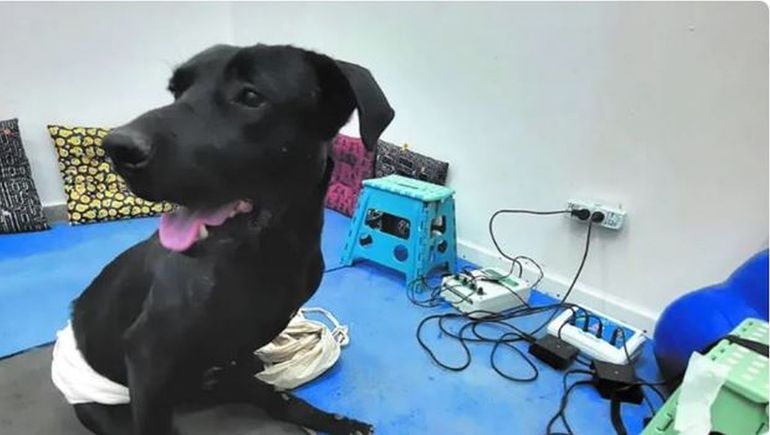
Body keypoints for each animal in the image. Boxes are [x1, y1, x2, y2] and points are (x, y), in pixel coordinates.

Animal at [53, 43, 394, 435]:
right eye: (177, 91)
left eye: (251, 96)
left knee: (276, 398)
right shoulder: (148, 356)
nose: (117, 148)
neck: (269, 255)